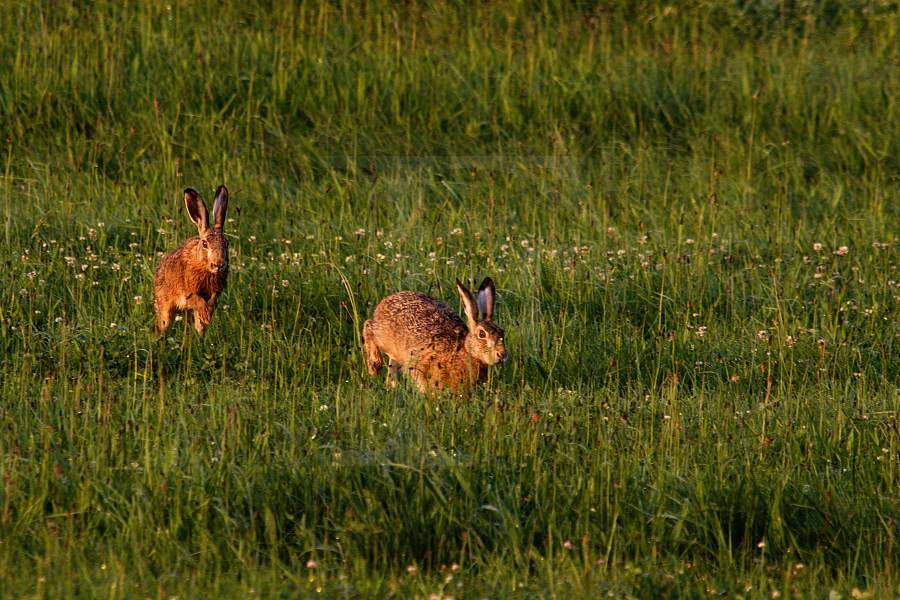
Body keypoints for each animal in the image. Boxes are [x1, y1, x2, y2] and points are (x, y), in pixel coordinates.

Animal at [153, 185, 229, 336]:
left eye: (227, 243)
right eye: (205, 244)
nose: (219, 264)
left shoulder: (215, 292)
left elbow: (212, 301)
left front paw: (207, 316)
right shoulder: (188, 291)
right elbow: (197, 299)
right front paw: (206, 314)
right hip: (165, 307)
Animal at [363, 277, 508, 393]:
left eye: (502, 333)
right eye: (482, 334)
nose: (502, 355)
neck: (465, 351)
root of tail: (385, 301)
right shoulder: (419, 365)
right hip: (384, 336)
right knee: (368, 326)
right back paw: (374, 366)